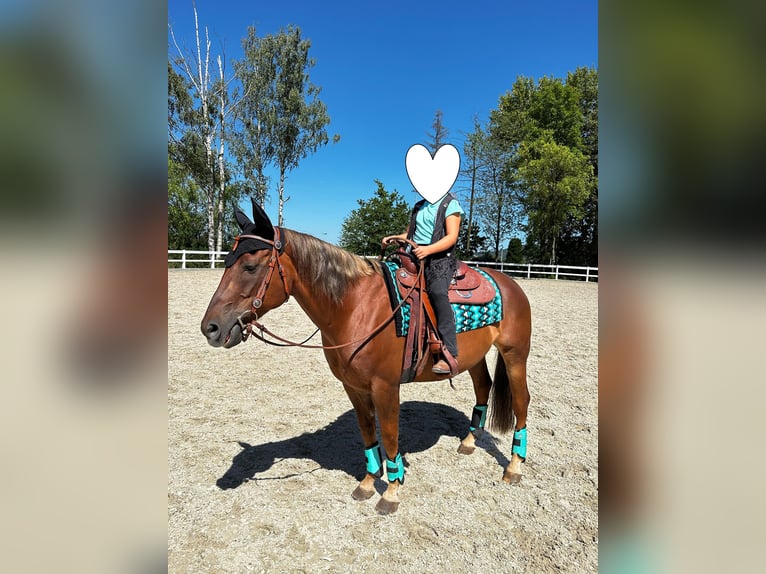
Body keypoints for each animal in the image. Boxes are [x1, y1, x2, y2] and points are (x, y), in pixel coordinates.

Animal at [201, 202, 532, 515]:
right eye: (227, 263)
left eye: (250, 266)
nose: (210, 328)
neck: (356, 307)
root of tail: (510, 283)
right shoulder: (354, 387)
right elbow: (368, 434)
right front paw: (369, 482)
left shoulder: (386, 387)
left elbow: (390, 436)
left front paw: (391, 492)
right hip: (474, 357)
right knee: (483, 387)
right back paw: (469, 442)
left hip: (515, 355)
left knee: (521, 401)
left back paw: (514, 466)